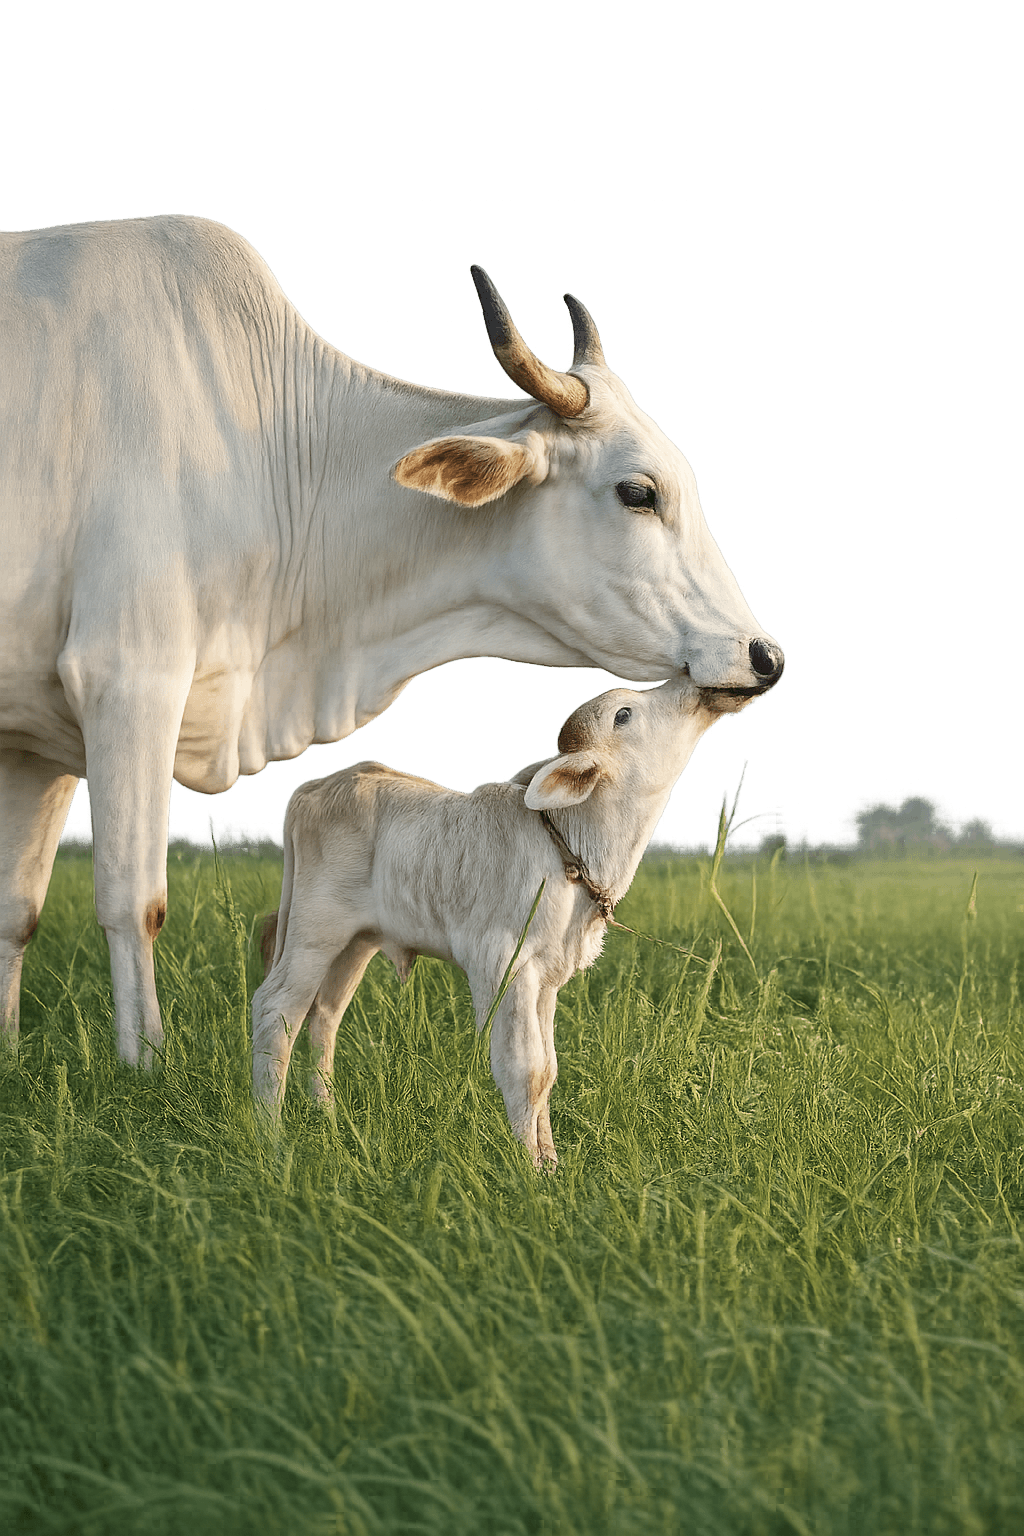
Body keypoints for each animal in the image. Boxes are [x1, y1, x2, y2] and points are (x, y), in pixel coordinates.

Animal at [0, 215, 784, 1068]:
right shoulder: (128, 678)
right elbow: (133, 901)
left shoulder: (37, 742)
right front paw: (144, 1069)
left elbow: (16, 910)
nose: (765, 657)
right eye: (637, 492)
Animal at [253, 676, 737, 1164]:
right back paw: (271, 1137)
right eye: (623, 714)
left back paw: (327, 1115)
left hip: (356, 943)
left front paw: (551, 1162)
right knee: (277, 1011)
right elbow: (525, 1070)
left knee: (324, 1015)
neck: (576, 846)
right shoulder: (502, 962)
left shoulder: (547, 977)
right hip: (315, 931)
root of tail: (320, 784)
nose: (693, 688)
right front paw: (529, 1167)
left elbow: (548, 1070)